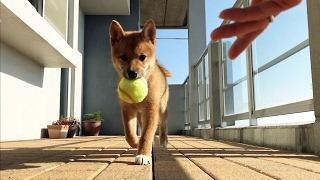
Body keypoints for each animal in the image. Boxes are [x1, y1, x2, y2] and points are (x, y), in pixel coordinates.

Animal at [109, 19, 171, 165]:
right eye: (123, 57)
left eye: (142, 57)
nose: (133, 73)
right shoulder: (127, 110)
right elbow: (129, 133)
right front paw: (135, 143)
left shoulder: (151, 109)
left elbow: (147, 134)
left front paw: (143, 155)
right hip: (140, 115)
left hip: (162, 108)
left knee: (164, 124)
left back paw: (163, 140)